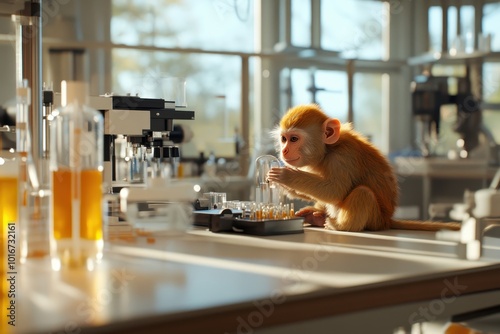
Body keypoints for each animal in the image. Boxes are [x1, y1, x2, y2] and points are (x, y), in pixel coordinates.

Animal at [266, 104, 460, 232]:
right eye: (283, 139)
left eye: (294, 139)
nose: (284, 150)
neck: (328, 150)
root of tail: (386, 221)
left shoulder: (343, 157)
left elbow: (335, 190)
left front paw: (286, 177)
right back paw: (316, 215)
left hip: (375, 219)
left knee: (362, 193)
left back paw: (340, 225)